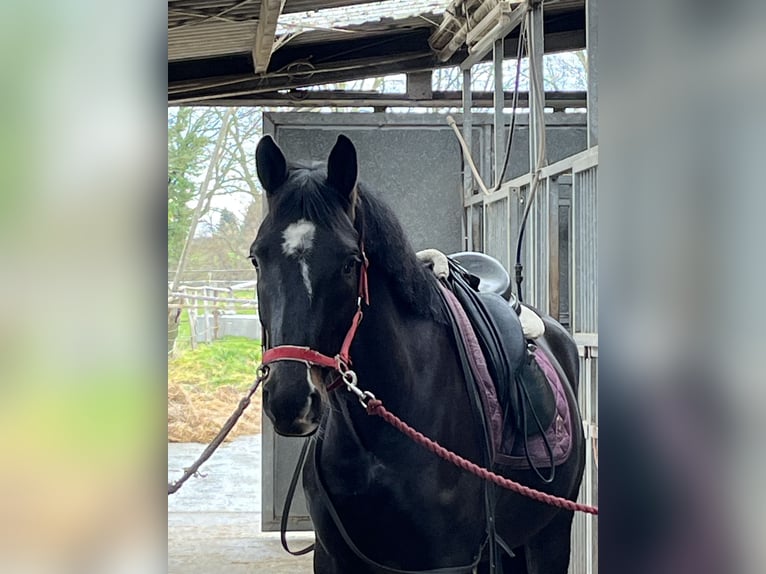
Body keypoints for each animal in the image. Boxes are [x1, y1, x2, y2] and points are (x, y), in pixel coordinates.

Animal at [250, 134, 586, 573]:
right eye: (257, 258)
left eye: (349, 263)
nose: (291, 400)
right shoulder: (332, 556)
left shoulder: (446, 562)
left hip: (551, 534)